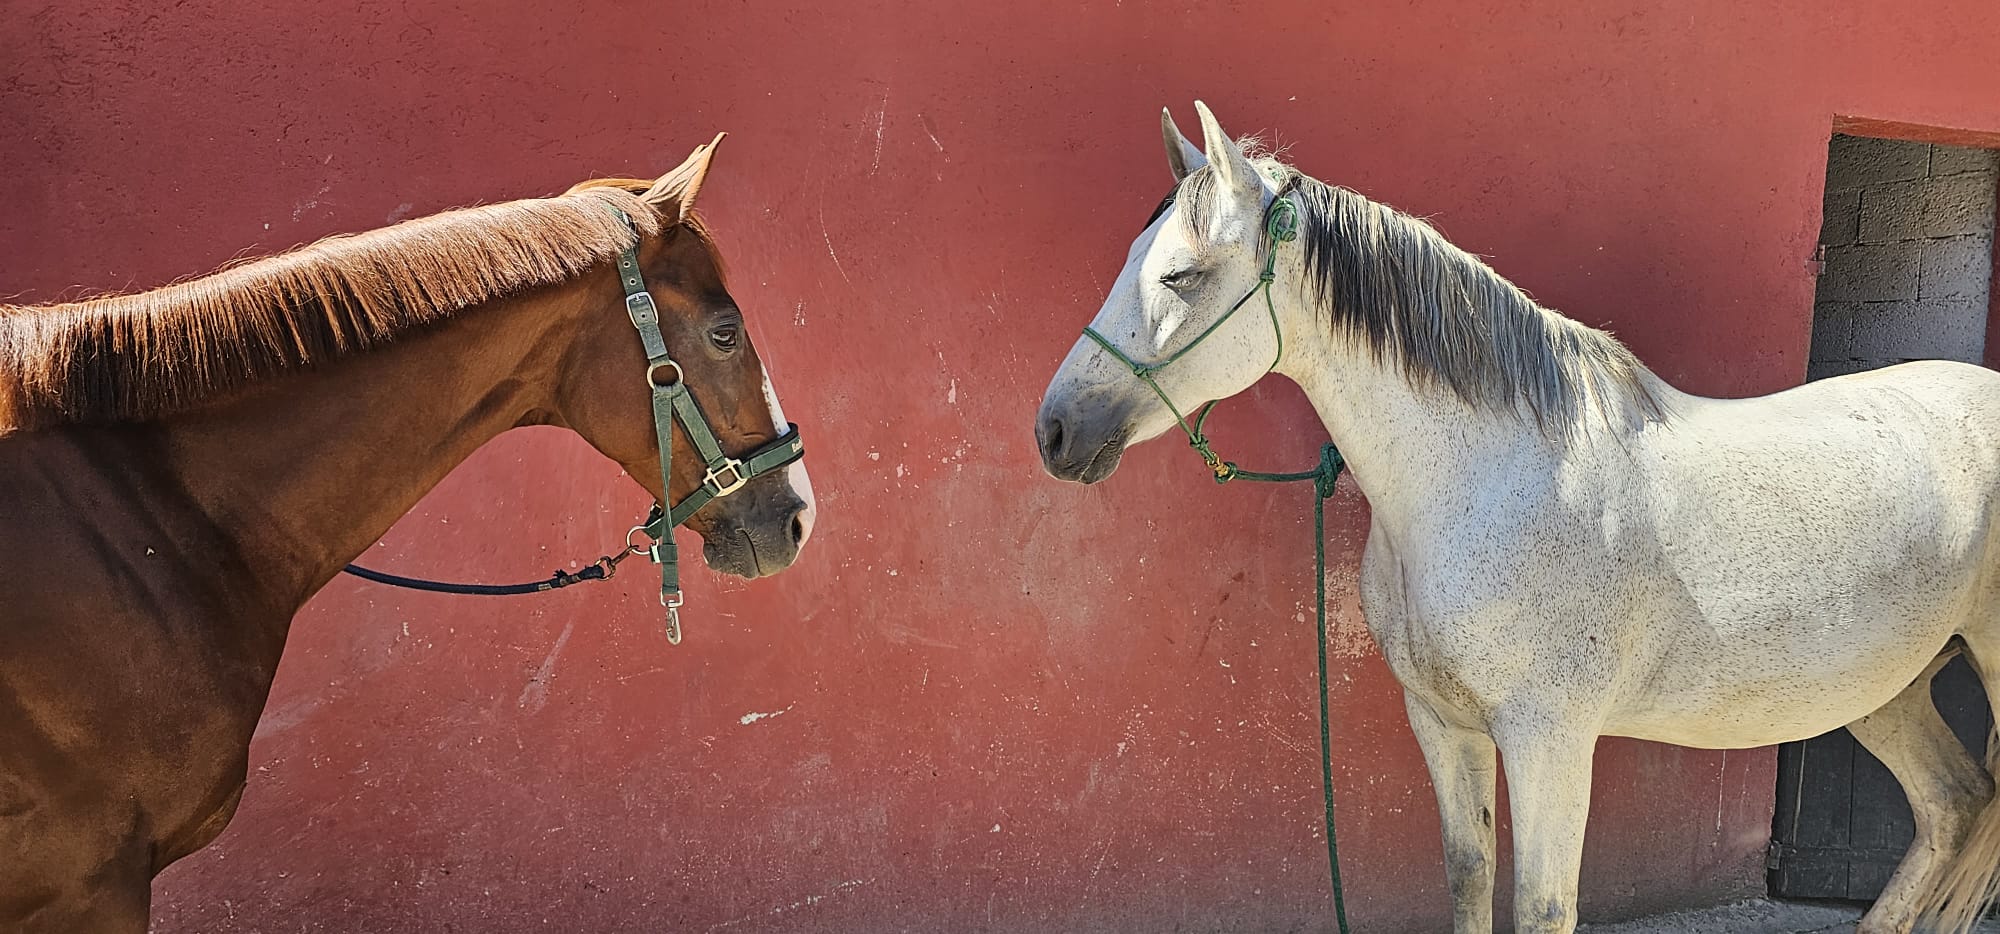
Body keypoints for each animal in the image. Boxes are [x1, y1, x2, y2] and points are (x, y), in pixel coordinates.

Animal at [1032, 98, 2000, 932]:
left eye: (1182, 275)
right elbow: (1469, 876)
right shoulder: (1444, 722)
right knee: (1954, 807)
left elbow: (1541, 905)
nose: (1055, 431)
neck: (1493, 481)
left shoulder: (1549, 738)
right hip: (1882, 684)